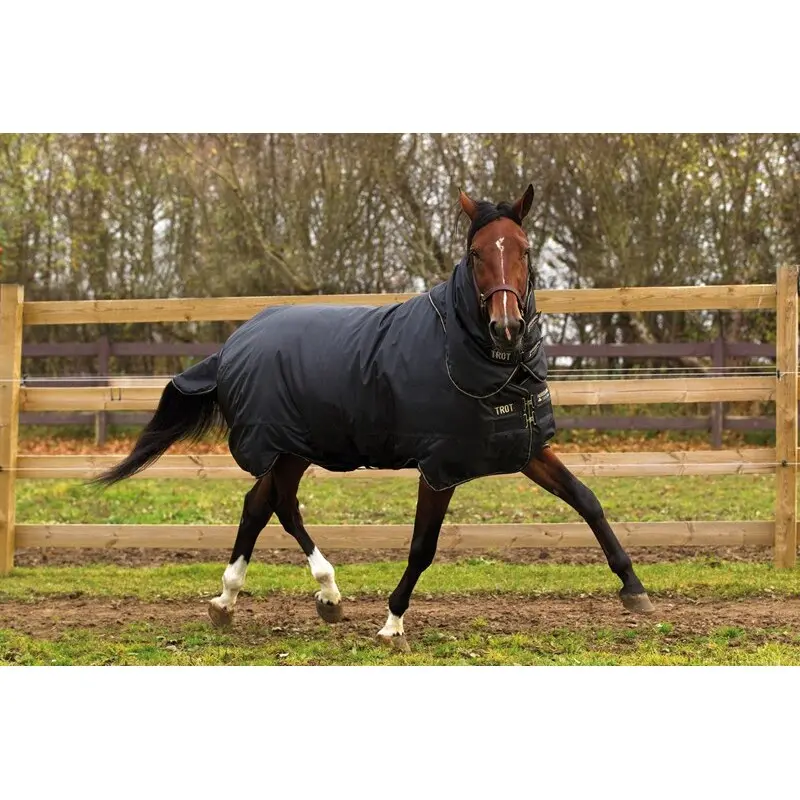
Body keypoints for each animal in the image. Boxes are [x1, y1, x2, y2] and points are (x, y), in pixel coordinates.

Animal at [93, 184, 654, 650]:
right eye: (476, 253)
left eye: (525, 249)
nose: (507, 326)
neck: (471, 353)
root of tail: (233, 345)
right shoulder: (439, 465)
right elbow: (423, 546)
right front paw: (392, 623)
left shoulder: (525, 448)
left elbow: (587, 501)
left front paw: (635, 588)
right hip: (280, 446)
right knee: (273, 506)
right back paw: (294, 594)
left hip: (294, 449)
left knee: (264, 505)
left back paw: (272, 601)